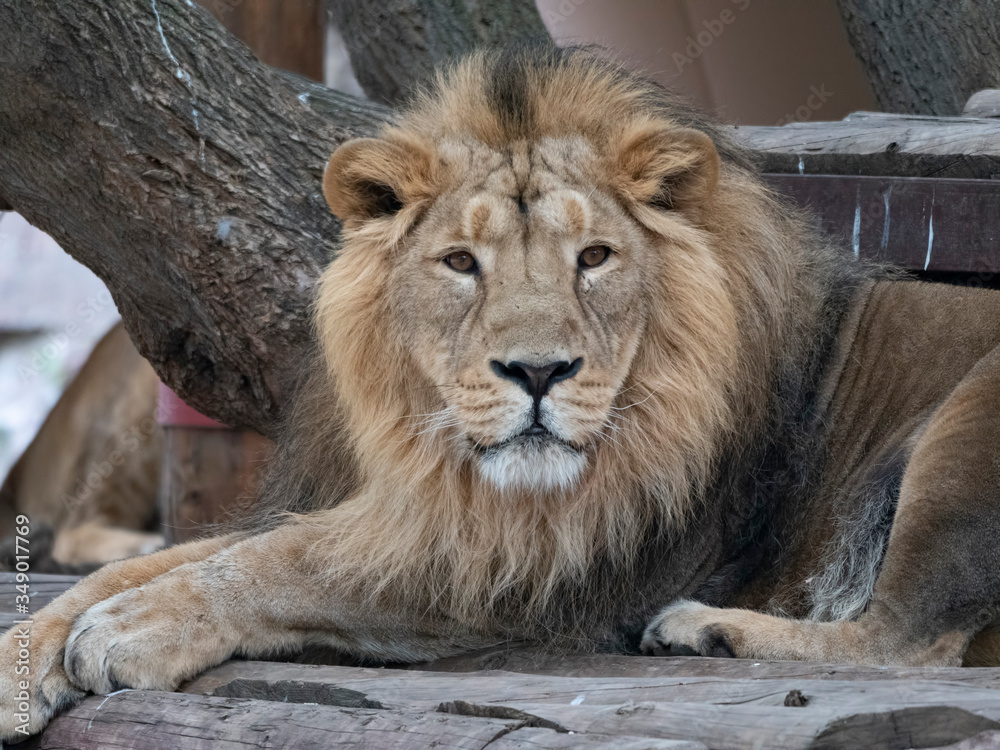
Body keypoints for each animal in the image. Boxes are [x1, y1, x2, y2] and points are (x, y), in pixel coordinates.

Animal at [5, 43, 1000, 740]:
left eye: (594, 257)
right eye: (459, 263)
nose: (538, 372)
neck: (449, 465)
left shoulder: (532, 569)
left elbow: (286, 564)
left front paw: (132, 629)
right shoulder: (394, 506)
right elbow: (164, 559)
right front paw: (33, 653)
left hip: (968, 422)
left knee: (905, 643)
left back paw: (705, 629)